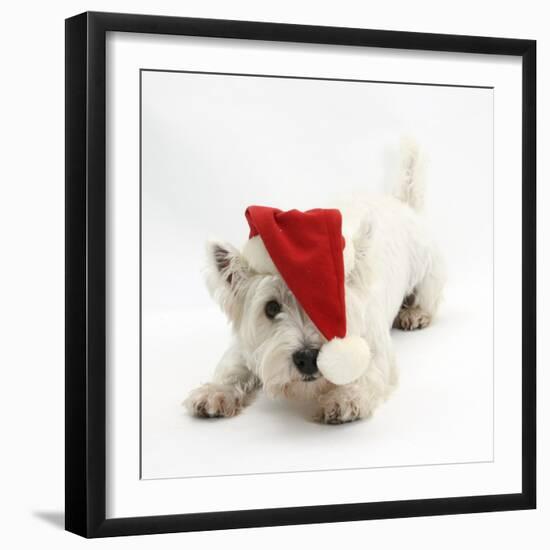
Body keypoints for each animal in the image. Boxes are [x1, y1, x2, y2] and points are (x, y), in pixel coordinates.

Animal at [188, 143, 446, 426]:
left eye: (333, 302)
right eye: (271, 308)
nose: (307, 358)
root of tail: (400, 202)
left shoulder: (376, 348)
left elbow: (368, 373)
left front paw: (344, 398)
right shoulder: (247, 344)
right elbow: (232, 366)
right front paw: (215, 392)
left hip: (429, 272)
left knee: (428, 298)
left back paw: (414, 313)